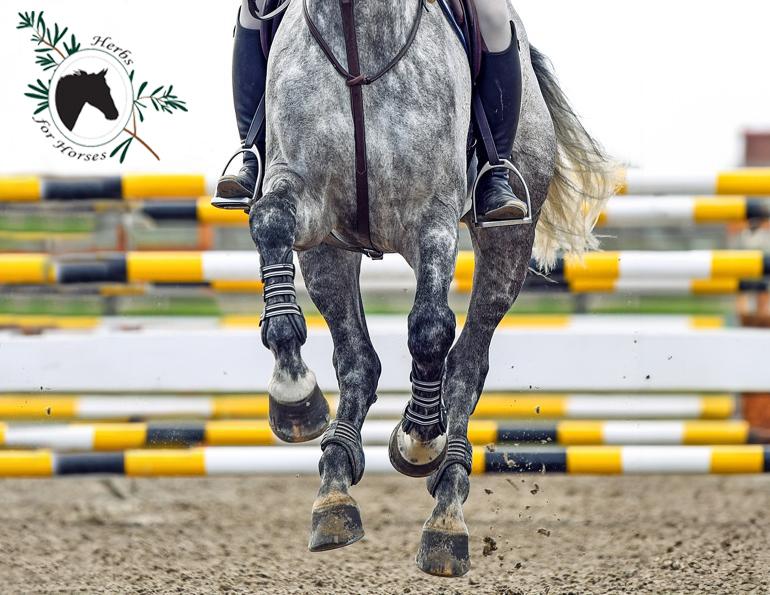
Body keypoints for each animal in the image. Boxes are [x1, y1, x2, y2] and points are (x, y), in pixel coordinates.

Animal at [248, 0, 616, 577]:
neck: (359, 38)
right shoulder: (306, 201)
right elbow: (269, 224)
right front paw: (294, 395)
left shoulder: (432, 220)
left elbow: (430, 330)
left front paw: (420, 438)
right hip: (329, 250)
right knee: (358, 360)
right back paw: (334, 492)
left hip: (507, 244)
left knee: (467, 363)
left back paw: (446, 514)